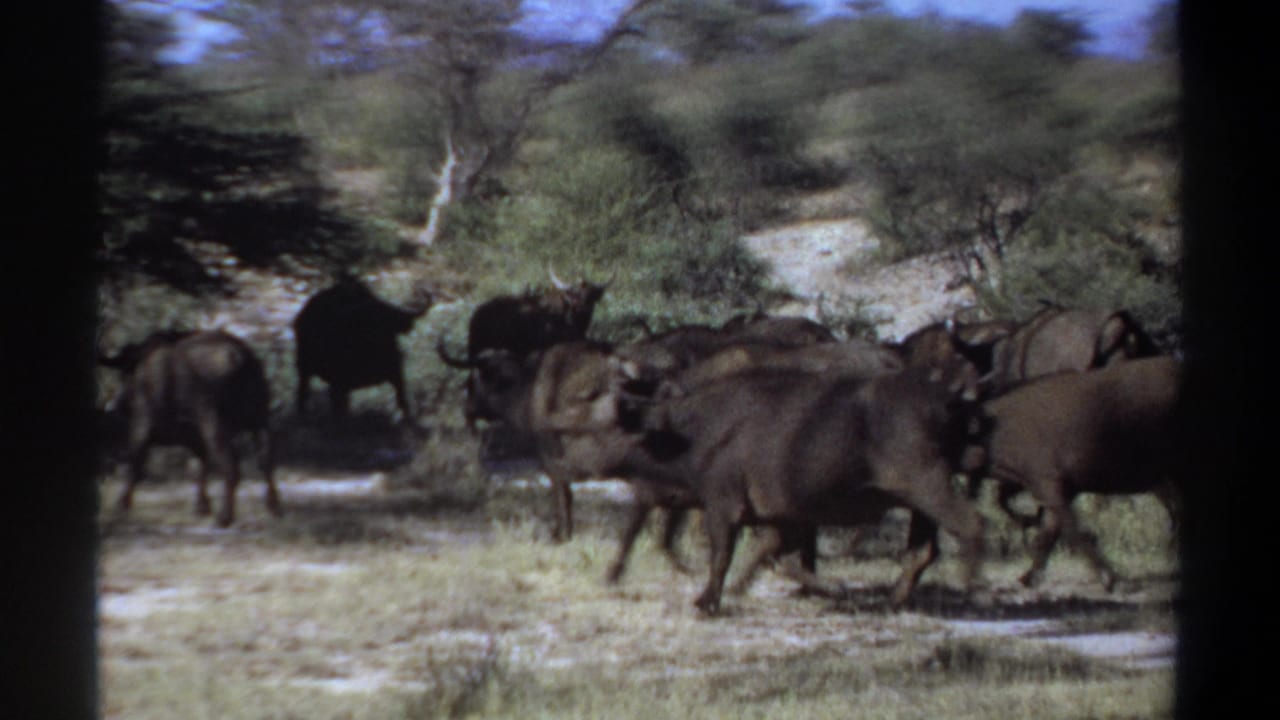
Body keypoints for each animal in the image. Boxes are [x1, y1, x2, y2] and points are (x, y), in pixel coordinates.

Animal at [99, 330, 281, 527]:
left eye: (125, 373)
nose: (118, 404)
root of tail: (238, 356)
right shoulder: (194, 438)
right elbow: (200, 466)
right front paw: (202, 506)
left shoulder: (142, 428)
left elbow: (135, 464)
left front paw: (121, 505)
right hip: (260, 420)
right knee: (266, 459)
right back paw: (274, 507)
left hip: (214, 425)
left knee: (231, 465)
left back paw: (225, 516)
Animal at [293, 276, 434, 420]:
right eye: (367, 321)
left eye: (390, 325)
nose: (381, 340)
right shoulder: (339, 383)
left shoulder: (397, 373)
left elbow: (402, 401)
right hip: (304, 367)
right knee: (303, 393)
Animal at [969, 356, 1181, 590]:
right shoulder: (1053, 489)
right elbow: (1043, 529)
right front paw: (1028, 574)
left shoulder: (1049, 485)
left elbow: (1070, 531)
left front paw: (1109, 577)